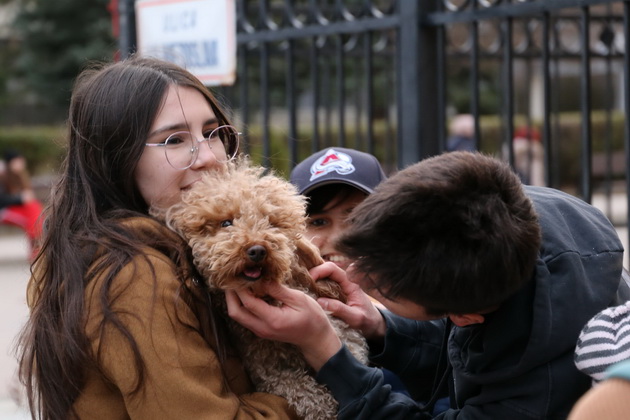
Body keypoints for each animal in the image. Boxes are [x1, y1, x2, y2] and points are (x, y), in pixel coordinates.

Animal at [156, 158, 368, 420]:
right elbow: (300, 389)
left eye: (273, 224)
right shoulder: (268, 370)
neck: (267, 297)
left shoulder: (347, 338)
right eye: (226, 223)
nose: (257, 250)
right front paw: (324, 407)